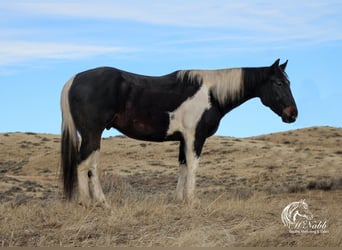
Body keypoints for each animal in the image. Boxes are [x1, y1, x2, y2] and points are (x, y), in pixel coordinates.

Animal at [60, 59, 298, 207]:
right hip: (92, 134)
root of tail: (74, 79)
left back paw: (100, 202)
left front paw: (179, 200)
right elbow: (193, 166)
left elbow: (182, 166)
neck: (211, 93)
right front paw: (192, 201)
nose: (293, 114)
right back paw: (89, 202)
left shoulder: (184, 138)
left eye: (288, 82)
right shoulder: (195, 137)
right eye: (278, 83)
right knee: (83, 164)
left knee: (91, 166)